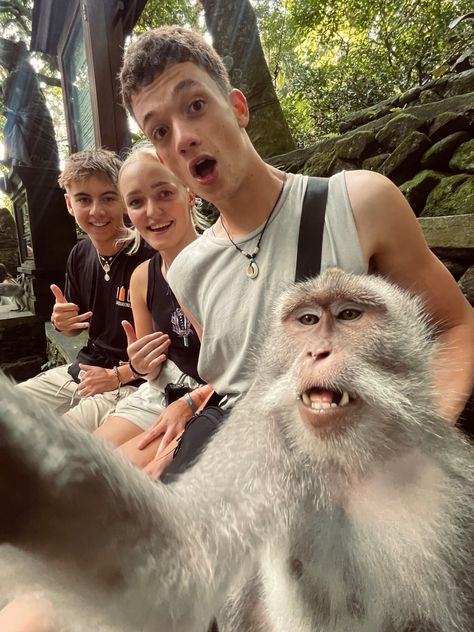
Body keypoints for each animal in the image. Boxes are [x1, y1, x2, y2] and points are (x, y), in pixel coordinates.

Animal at [0, 268, 474, 632]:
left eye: (349, 315)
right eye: (307, 319)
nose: (317, 351)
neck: (347, 461)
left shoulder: (456, 486)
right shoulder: (263, 439)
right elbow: (187, 558)